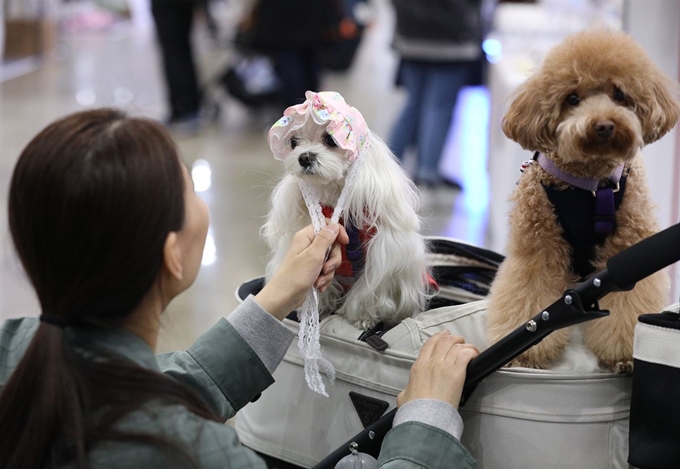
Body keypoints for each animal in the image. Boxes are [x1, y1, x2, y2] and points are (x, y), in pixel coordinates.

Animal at [262, 89, 428, 328]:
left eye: (330, 139)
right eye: (293, 142)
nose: (304, 157)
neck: (334, 197)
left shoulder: (384, 253)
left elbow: (368, 289)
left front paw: (362, 318)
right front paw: (318, 308)